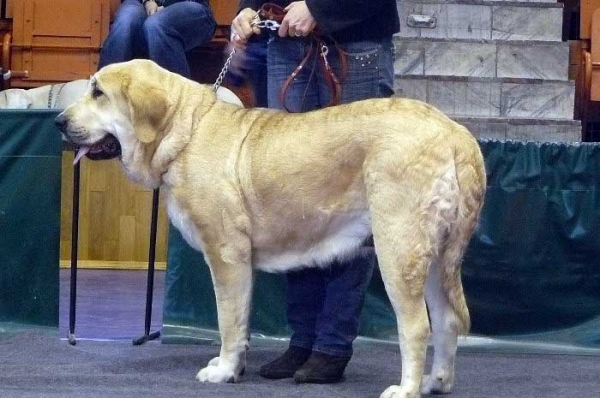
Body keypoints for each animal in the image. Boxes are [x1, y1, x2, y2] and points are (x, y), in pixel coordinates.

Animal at [55, 59, 488, 398]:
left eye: (98, 92)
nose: (58, 121)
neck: (185, 132)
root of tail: (456, 133)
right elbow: (241, 320)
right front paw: (236, 367)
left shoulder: (226, 255)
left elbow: (228, 321)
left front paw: (223, 371)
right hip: (436, 258)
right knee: (447, 321)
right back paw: (436, 382)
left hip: (399, 250)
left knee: (416, 327)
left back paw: (407, 388)